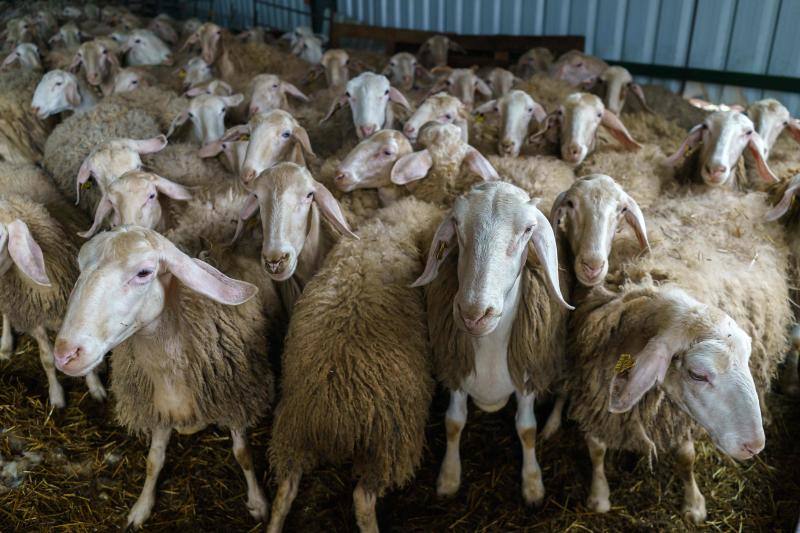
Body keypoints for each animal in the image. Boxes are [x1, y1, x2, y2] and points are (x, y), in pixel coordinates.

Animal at [53, 226, 278, 528]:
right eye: (80, 265)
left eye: (144, 272)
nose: (65, 353)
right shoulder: (159, 410)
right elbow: (154, 460)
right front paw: (141, 507)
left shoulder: (236, 401)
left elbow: (243, 454)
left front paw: (258, 503)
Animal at [267, 196, 441, 533]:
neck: (389, 230)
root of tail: (332, 418)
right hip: (388, 442)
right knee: (363, 497)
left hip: (292, 430)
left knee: (285, 490)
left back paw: (273, 524)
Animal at [414, 180, 571, 504]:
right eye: (457, 224)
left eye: (528, 230)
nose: (473, 313)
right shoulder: (456, 370)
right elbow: (453, 422)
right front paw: (449, 477)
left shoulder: (527, 375)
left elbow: (526, 428)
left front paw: (533, 483)